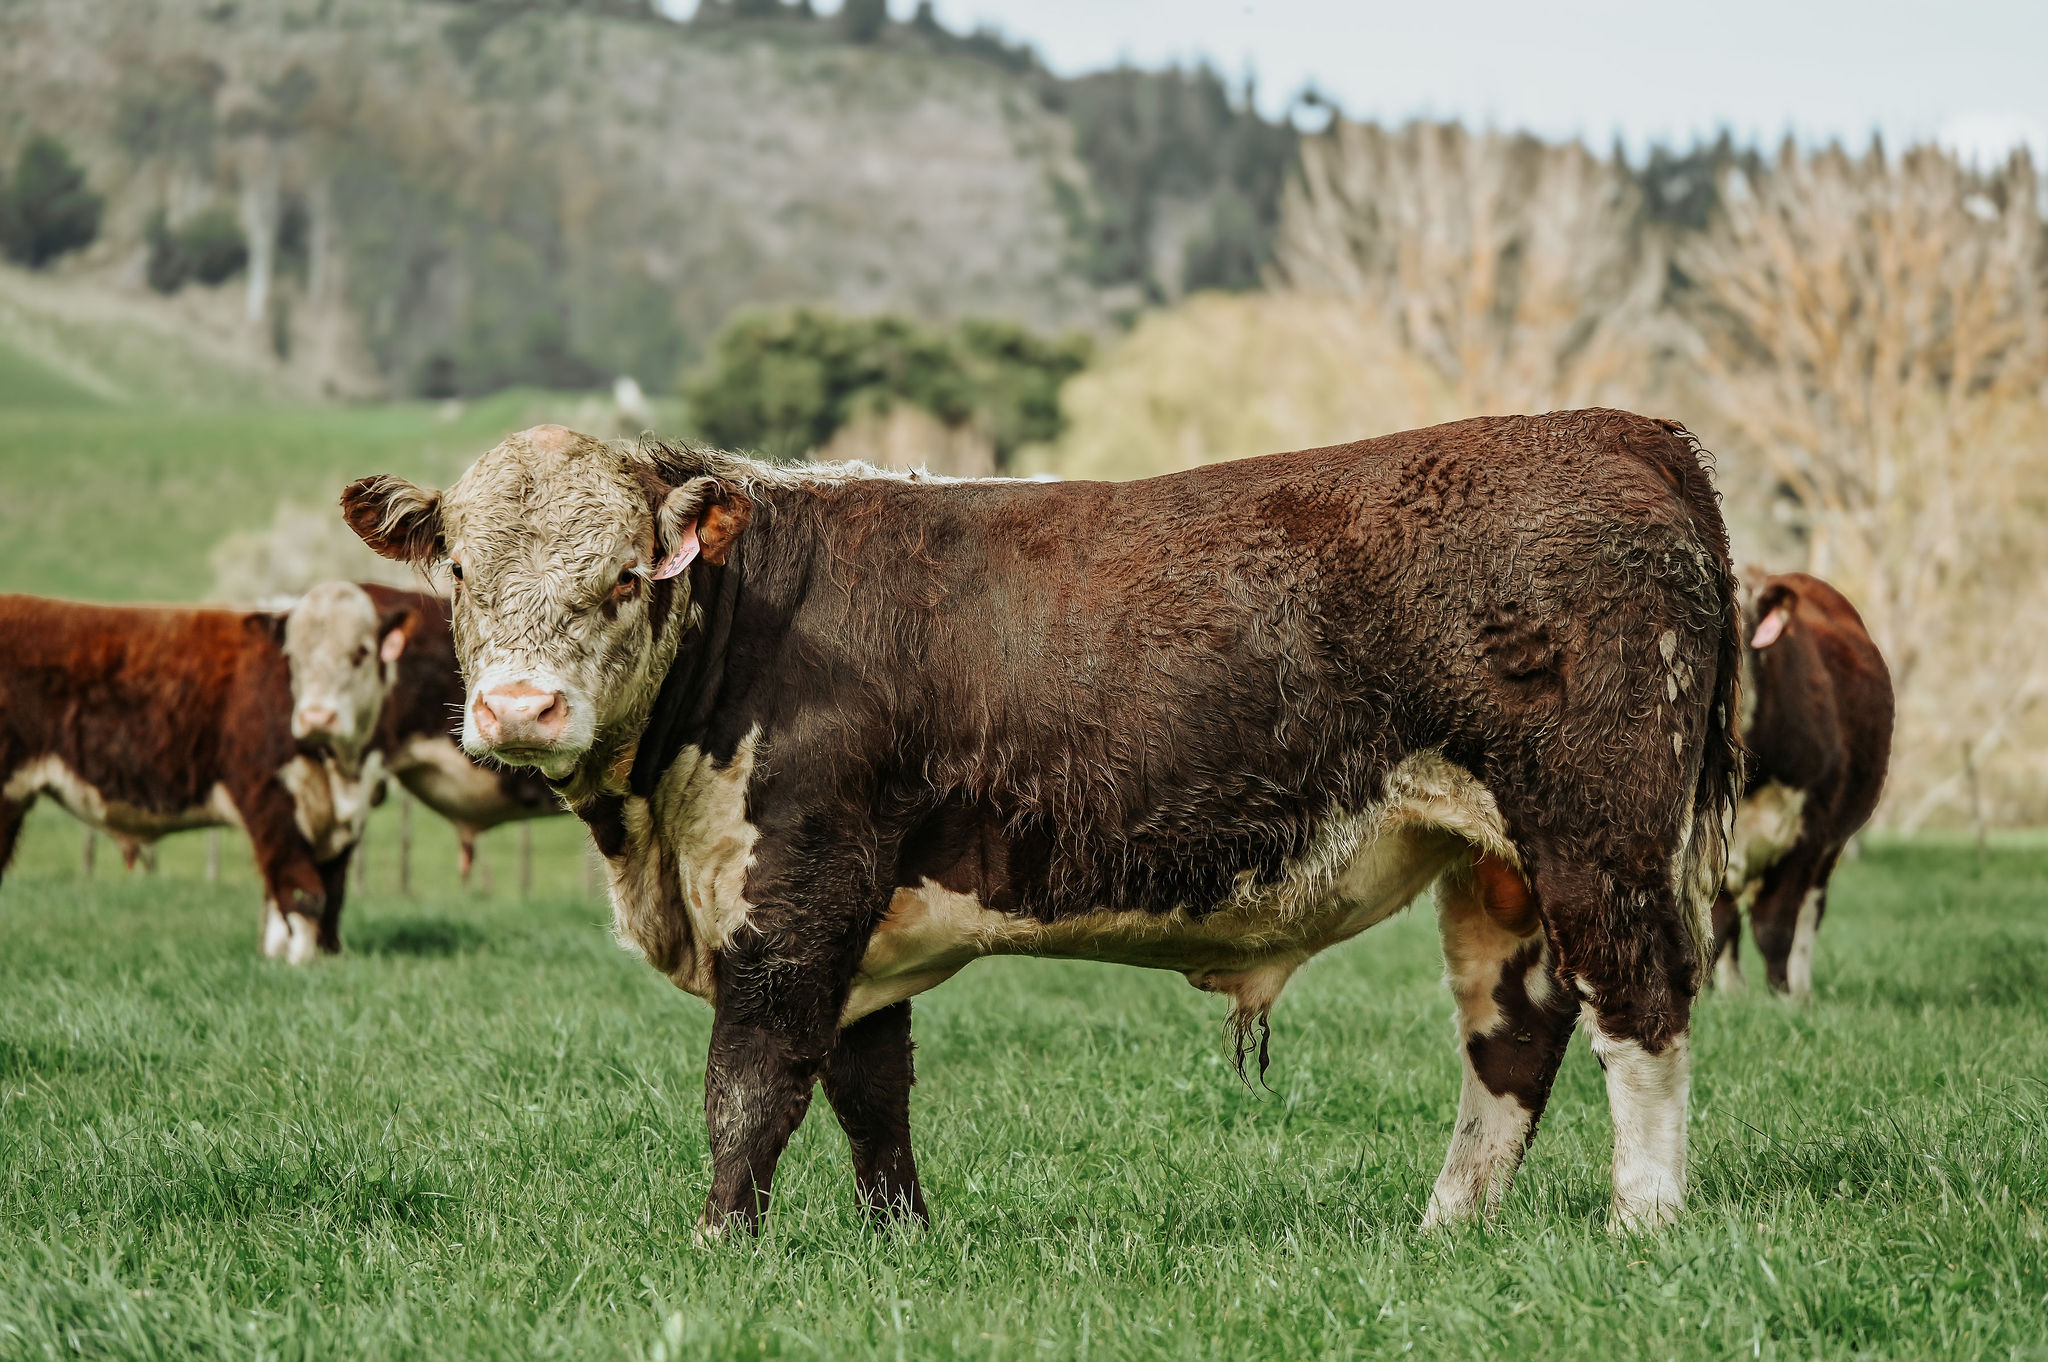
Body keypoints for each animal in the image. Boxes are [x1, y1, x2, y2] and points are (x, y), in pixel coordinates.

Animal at [0, 583, 416, 961]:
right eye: (293, 657)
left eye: (361, 653)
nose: (316, 716)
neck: (339, 768)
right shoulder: (271, 805)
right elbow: (303, 894)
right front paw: (299, 962)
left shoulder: (347, 819)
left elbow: (331, 894)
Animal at [1711, 571, 1893, 999]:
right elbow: (1722, 923)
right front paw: (1728, 995)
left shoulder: (1809, 832)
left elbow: (1775, 925)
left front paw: (1781, 996)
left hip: (1832, 847)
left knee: (1809, 912)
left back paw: (1801, 988)